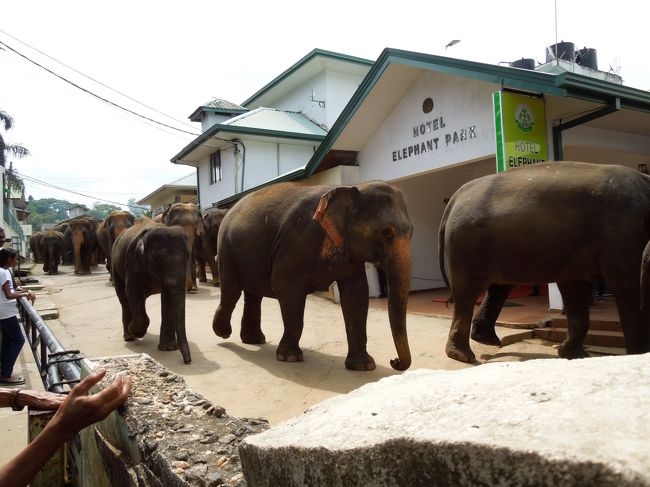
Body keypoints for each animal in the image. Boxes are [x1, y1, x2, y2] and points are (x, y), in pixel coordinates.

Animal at [110, 219, 191, 364]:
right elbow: (132, 290)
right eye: (158, 260)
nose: (188, 361)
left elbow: (167, 297)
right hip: (115, 263)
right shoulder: (133, 262)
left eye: (188, 256)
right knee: (124, 298)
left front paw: (169, 348)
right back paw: (129, 336)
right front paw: (136, 331)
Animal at [214, 181, 416, 372]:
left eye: (412, 232)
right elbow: (284, 285)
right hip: (226, 249)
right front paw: (290, 358)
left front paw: (363, 366)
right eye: (387, 233)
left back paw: (254, 340)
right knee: (232, 292)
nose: (394, 361)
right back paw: (223, 333)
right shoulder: (297, 241)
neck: (350, 187)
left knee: (253, 296)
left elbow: (356, 294)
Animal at [438, 162, 648, 364]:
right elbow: (629, 288)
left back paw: (486, 340)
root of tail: (456, 197)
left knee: (498, 287)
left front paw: (574, 356)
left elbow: (575, 288)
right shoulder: (623, 230)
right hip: (468, 244)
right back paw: (463, 356)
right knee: (467, 293)